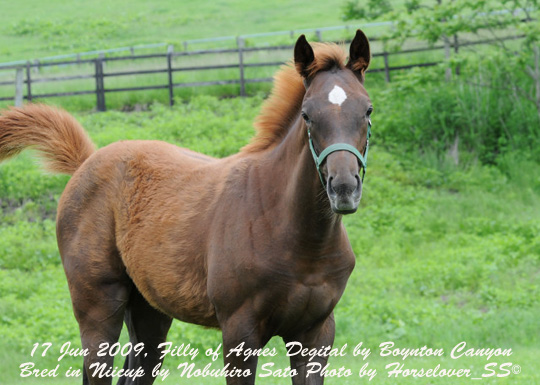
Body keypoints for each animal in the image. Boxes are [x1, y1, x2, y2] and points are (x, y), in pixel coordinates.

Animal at [0, 30, 372, 384]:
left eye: (368, 110)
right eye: (307, 115)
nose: (343, 188)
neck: (297, 237)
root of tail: (87, 162)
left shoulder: (316, 334)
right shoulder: (239, 332)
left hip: (147, 310)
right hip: (97, 306)